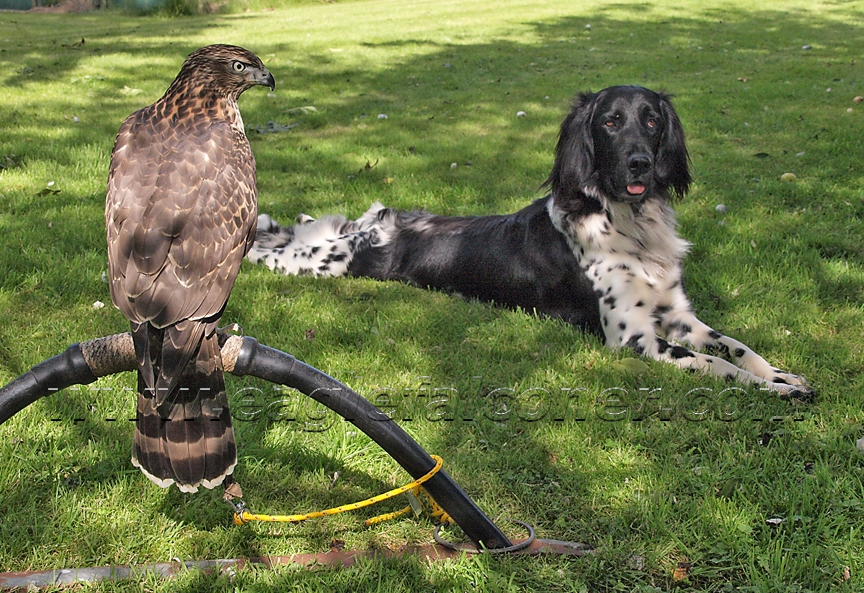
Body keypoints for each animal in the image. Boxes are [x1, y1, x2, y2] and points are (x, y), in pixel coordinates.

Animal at [248, 83, 808, 398]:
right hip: (321, 261)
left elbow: (735, 345)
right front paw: (768, 388)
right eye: (610, 122)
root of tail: (388, 224)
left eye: (652, 120)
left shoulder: (675, 314)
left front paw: (781, 375)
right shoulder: (633, 339)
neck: (627, 224)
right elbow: (714, 362)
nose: (640, 164)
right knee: (268, 246)